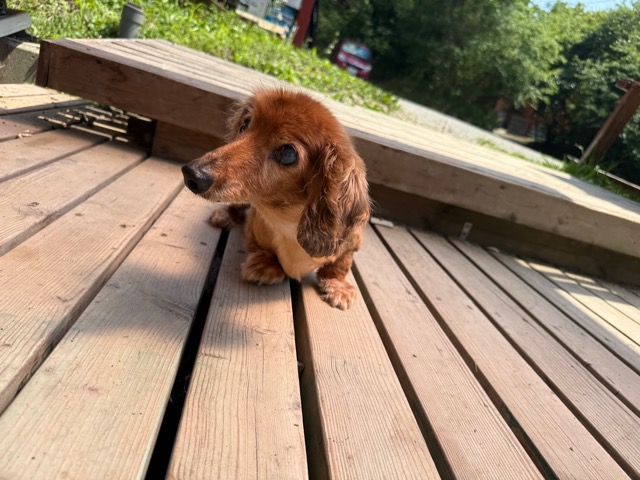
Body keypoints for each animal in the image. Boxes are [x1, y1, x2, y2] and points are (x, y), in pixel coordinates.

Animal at [182, 89, 370, 310]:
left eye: (288, 153)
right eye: (245, 124)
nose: (192, 173)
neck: (287, 220)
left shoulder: (351, 244)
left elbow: (340, 265)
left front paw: (337, 286)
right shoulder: (255, 227)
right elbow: (259, 247)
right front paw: (266, 265)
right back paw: (225, 216)